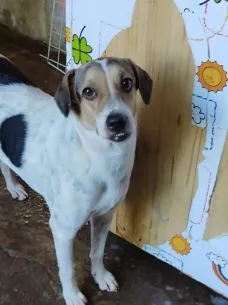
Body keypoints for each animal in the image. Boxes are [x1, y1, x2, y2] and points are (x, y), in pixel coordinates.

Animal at [0, 55, 153, 304]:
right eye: (88, 91)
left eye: (127, 83)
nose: (117, 121)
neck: (99, 157)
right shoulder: (62, 229)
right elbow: (67, 269)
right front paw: (71, 295)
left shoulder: (103, 217)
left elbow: (97, 252)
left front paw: (101, 276)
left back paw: (13, 188)